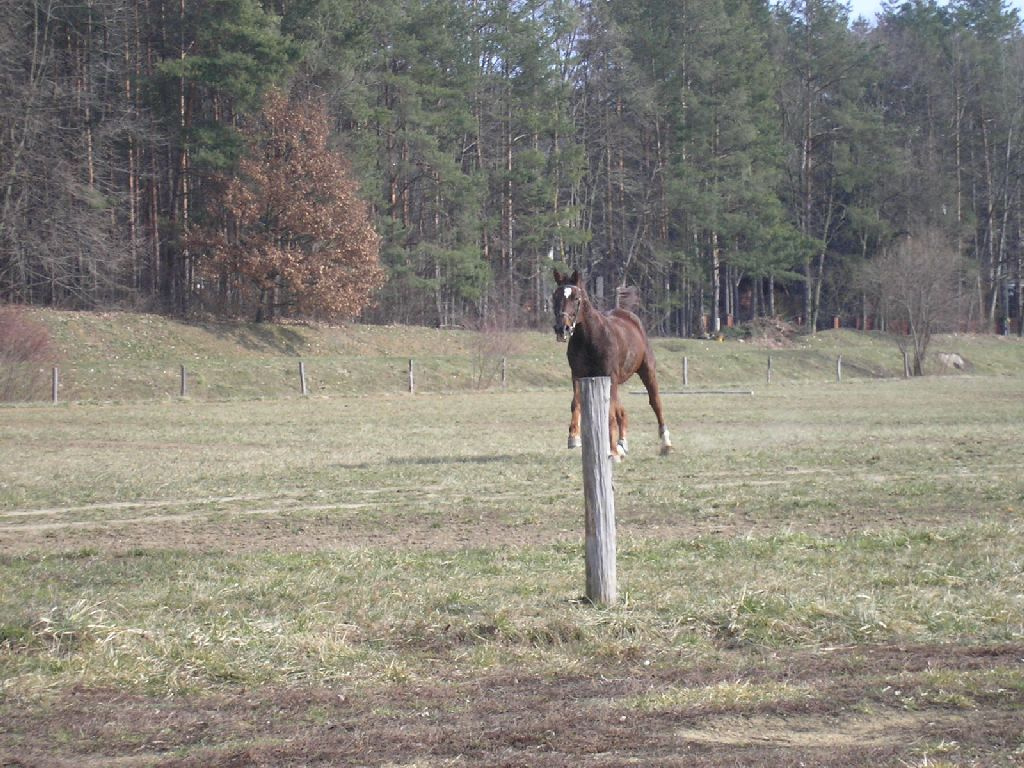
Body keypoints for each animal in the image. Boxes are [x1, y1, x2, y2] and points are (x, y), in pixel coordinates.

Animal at [552, 270, 671, 460]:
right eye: (554, 297)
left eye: (576, 298)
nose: (562, 328)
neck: (590, 338)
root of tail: (629, 316)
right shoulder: (578, 375)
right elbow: (576, 403)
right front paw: (574, 437)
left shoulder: (609, 376)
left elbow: (610, 413)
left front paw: (613, 452)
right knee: (621, 411)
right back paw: (622, 443)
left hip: (646, 371)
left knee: (655, 402)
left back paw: (665, 444)